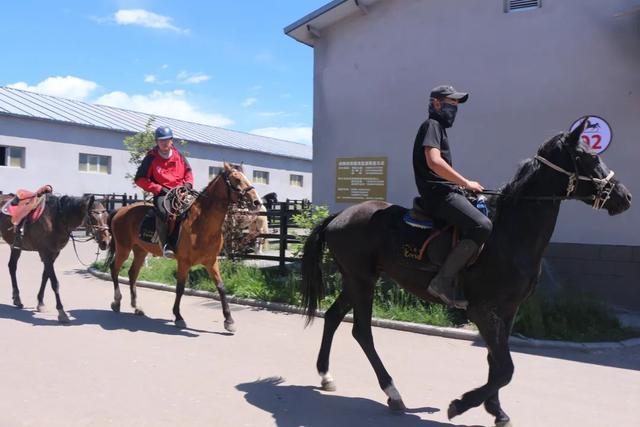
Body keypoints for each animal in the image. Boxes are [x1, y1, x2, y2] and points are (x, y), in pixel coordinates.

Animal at [0, 192, 110, 322]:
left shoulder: (53, 254)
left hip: (16, 246)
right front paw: (61, 312)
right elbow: (54, 282)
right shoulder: (46, 253)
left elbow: (45, 277)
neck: (57, 219)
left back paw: (17, 299)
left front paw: (41, 303)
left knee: (12, 267)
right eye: (93, 217)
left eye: (107, 216)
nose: (105, 242)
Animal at [106, 162, 262, 332]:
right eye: (236, 179)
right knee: (114, 269)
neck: (201, 223)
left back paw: (136, 306)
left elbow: (221, 287)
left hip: (140, 251)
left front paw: (229, 320)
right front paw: (178, 316)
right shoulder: (184, 262)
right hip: (123, 248)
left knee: (132, 273)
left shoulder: (211, 261)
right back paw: (116, 302)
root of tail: (121, 210)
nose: (257, 202)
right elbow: (180, 288)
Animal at [300, 118, 632, 426]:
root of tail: (339, 216)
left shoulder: (508, 310)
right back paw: (393, 392)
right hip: (362, 281)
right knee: (362, 332)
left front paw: (496, 410)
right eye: (588, 156)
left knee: (333, 317)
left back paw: (326, 375)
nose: (625, 197)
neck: (509, 234)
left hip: (356, 280)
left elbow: (496, 361)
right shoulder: (482, 310)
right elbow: (506, 367)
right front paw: (461, 404)